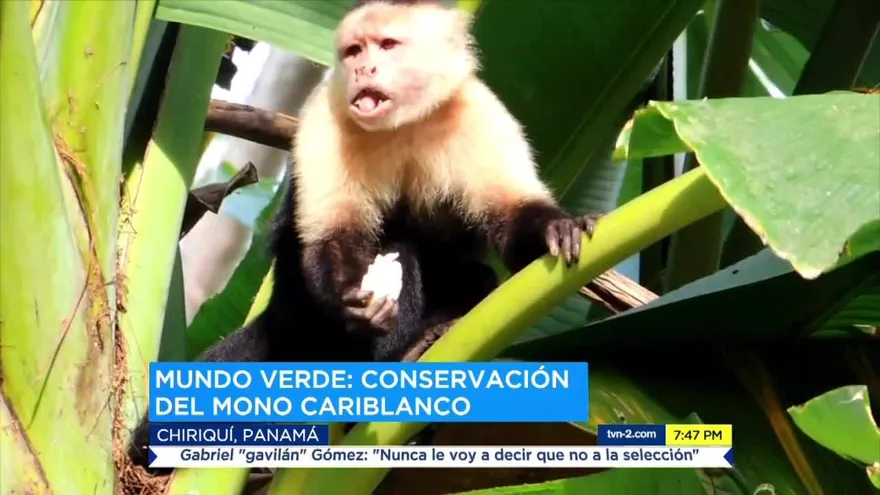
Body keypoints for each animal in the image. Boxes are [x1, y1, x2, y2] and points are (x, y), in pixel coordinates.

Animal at [127, 0, 601, 472]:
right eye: (354, 50)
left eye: (388, 45)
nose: (363, 68)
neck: (404, 122)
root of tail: (279, 316)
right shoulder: (326, 115)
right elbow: (336, 236)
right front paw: (352, 298)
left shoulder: (479, 112)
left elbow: (510, 215)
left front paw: (555, 228)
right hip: (304, 314)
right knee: (396, 252)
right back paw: (390, 365)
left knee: (476, 277)